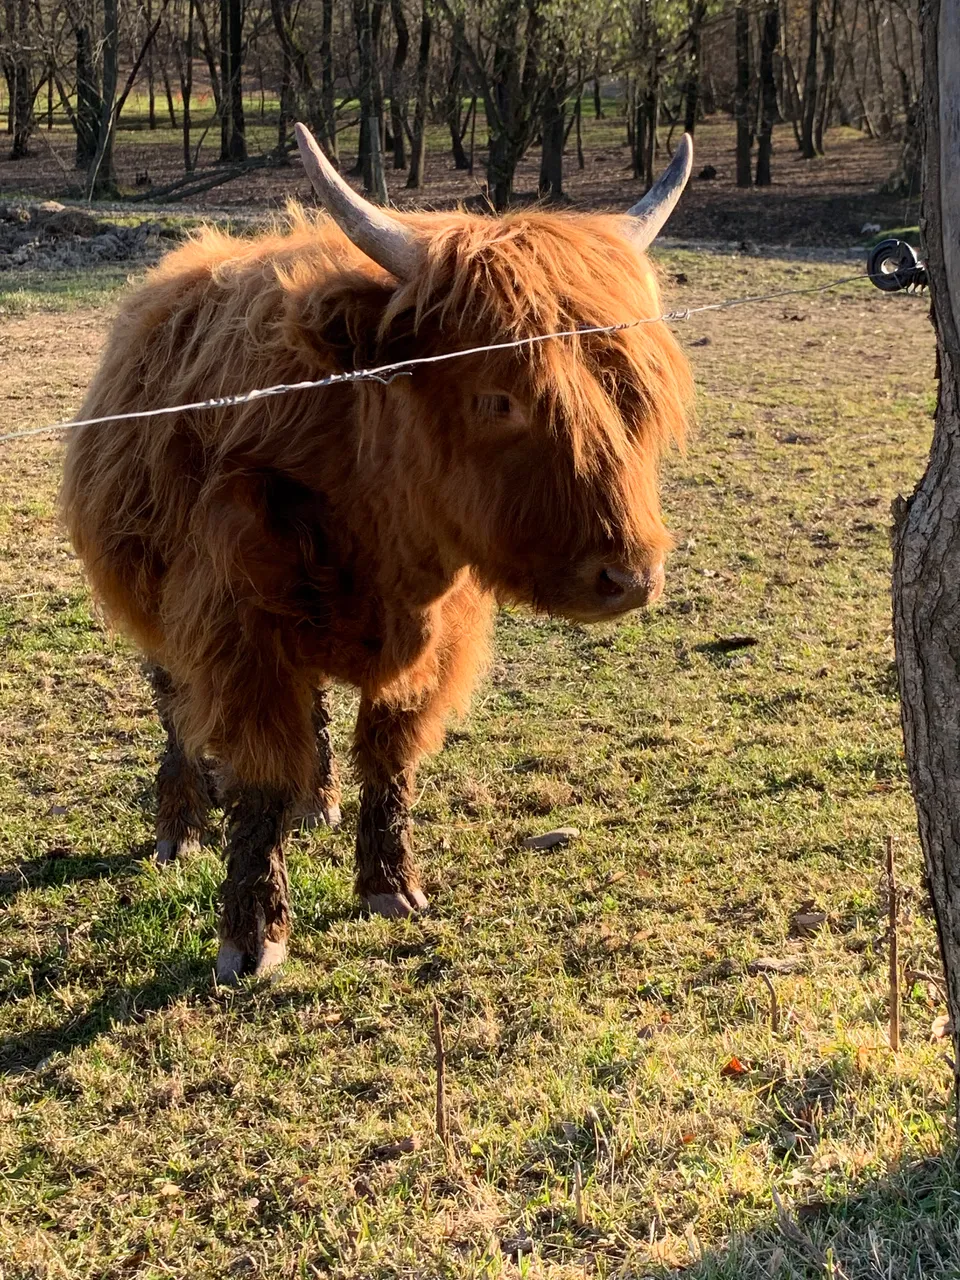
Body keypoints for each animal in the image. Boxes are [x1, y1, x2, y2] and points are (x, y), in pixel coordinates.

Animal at [60, 124, 696, 977]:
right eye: (498, 398)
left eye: (630, 393)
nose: (629, 576)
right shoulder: (239, 632)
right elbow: (259, 778)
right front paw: (251, 937)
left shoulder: (438, 638)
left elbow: (389, 754)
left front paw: (390, 885)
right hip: (154, 608)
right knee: (174, 711)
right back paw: (179, 827)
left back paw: (319, 800)